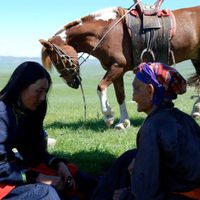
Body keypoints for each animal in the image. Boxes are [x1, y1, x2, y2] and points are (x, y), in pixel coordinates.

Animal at [39, 3, 200, 130]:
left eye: (59, 60)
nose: (72, 83)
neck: (106, 31)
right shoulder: (117, 71)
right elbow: (120, 95)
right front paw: (123, 122)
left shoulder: (117, 66)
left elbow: (100, 87)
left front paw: (108, 115)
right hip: (196, 58)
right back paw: (196, 110)